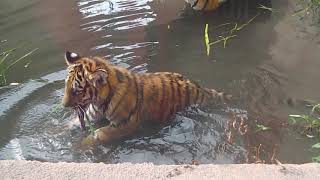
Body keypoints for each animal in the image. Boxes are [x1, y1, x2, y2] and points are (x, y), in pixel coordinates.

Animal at [62, 51, 231, 146]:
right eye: (66, 86)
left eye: (76, 91)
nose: (63, 105)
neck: (100, 102)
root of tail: (199, 88)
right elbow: (69, 124)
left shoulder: (125, 124)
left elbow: (99, 134)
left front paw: (80, 146)